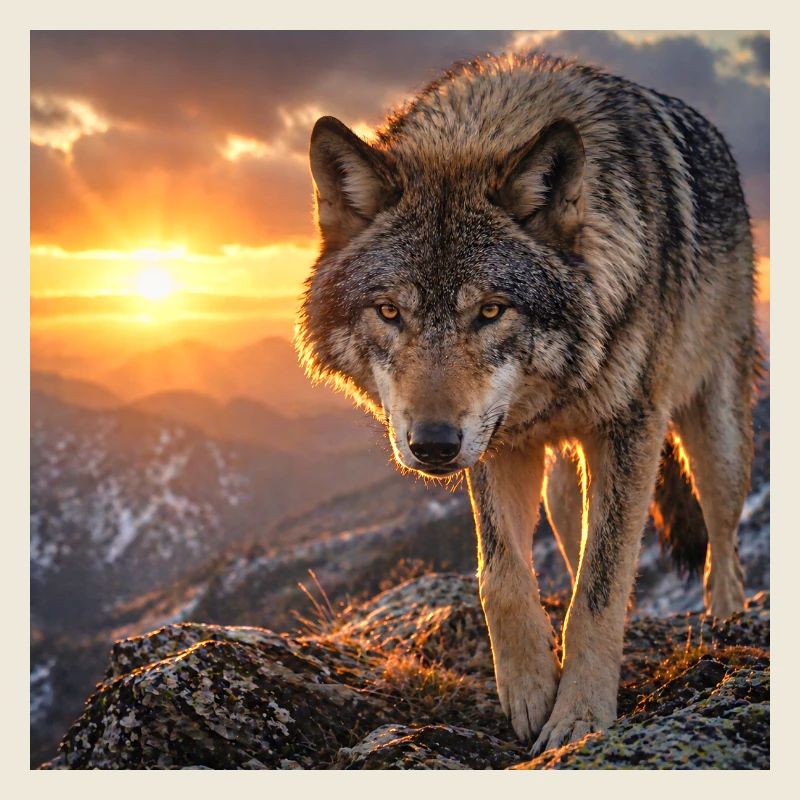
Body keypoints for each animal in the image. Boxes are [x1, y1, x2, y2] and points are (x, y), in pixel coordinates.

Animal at [296, 53, 757, 753]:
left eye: (491, 311)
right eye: (389, 312)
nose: (433, 445)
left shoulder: (631, 429)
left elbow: (600, 589)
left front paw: (580, 715)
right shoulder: (496, 442)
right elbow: (503, 576)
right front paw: (532, 689)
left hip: (714, 441)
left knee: (722, 545)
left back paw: (725, 629)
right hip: (567, 488)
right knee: (576, 538)